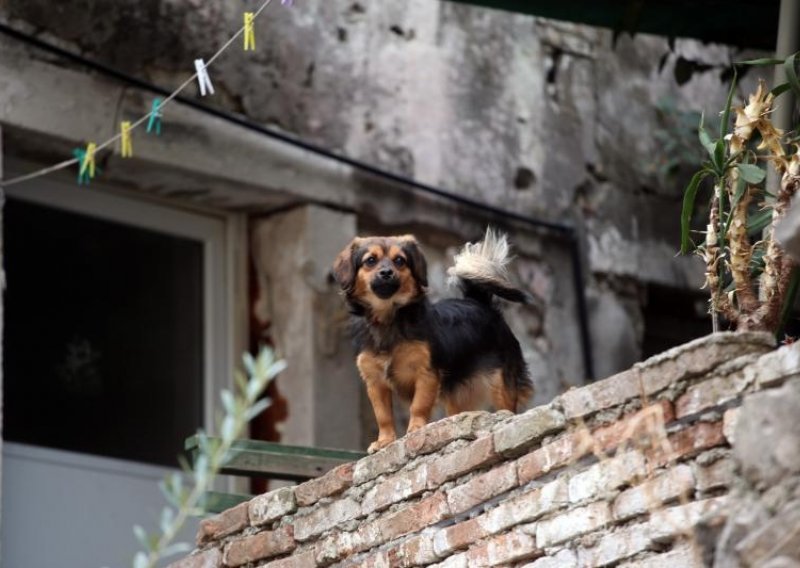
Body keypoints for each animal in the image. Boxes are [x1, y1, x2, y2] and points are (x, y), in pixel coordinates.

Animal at [332, 226, 532, 452]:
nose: (386, 272)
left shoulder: (426, 373)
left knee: (507, 407)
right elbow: (383, 415)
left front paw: (416, 429)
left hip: (501, 385)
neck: (389, 318)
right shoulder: (375, 382)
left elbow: (418, 405)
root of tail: (479, 303)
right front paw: (385, 441)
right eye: (370, 261)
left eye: (399, 261)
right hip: (457, 396)